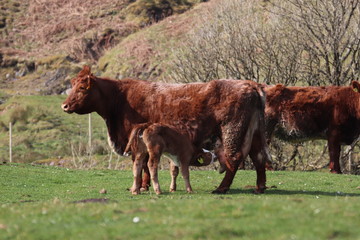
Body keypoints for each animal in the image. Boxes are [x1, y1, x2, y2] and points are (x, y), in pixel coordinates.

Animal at [62, 66, 270, 194]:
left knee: (234, 158)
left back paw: (221, 188)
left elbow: (143, 164)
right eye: (72, 85)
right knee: (258, 157)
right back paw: (259, 187)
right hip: (255, 133)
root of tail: (250, 84)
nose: (64, 105)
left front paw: (143, 186)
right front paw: (144, 186)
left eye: (82, 87)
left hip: (232, 130)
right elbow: (144, 164)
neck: (120, 99)